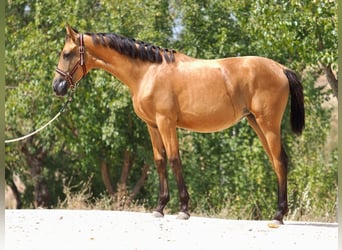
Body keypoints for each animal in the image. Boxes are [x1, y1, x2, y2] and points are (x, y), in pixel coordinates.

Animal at [52, 24, 304, 227]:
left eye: (66, 53)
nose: (57, 86)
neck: (148, 72)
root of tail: (280, 68)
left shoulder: (166, 122)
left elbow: (174, 159)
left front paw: (183, 209)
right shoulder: (152, 125)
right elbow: (160, 161)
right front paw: (160, 207)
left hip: (268, 124)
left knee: (280, 160)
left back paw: (278, 215)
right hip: (257, 123)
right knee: (276, 161)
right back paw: (279, 212)